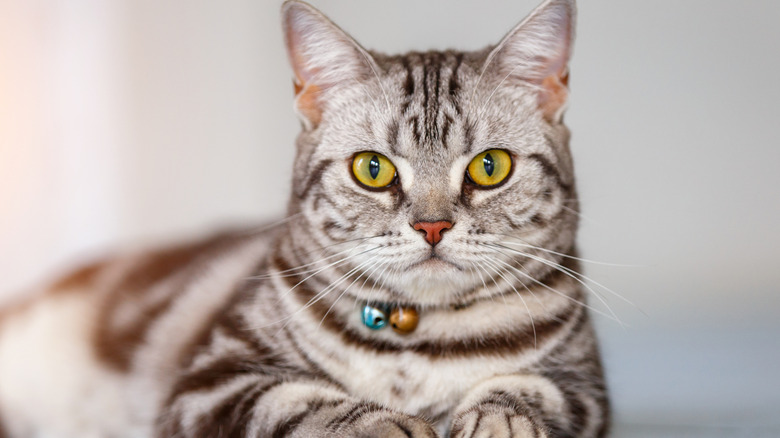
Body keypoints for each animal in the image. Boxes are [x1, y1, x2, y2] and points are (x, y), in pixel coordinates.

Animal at [0, 0, 608, 436]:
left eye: (489, 166)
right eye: (372, 169)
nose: (432, 226)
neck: (417, 339)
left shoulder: (588, 387)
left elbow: (530, 389)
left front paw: (498, 420)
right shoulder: (210, 381)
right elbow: (306, 404)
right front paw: (391, 424)